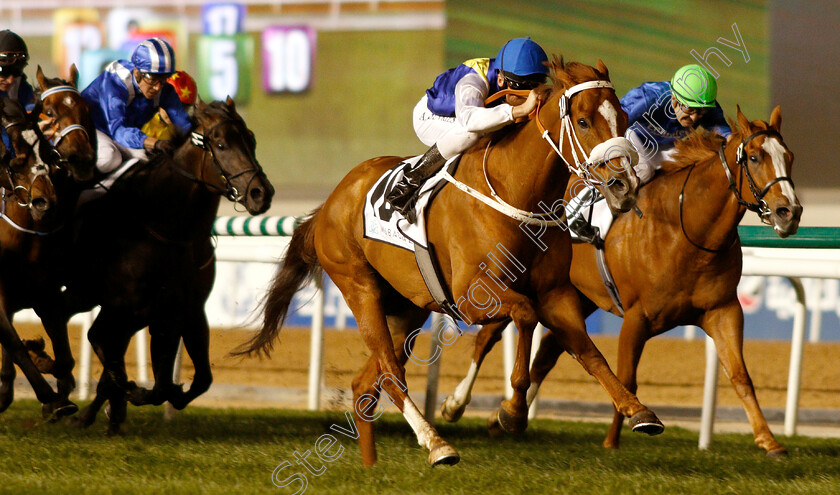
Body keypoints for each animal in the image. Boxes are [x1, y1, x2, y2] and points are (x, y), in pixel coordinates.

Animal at [66, 97, 276, 434]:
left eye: (251, 139)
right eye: (221, 144)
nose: (261, 193)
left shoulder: (185, 310)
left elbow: (197, 380)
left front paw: (127, 403)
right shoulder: (132, 308)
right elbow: (111, 351)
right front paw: (130, 395)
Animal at [238, 58, 664, 468]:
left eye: (623, 119)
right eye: (583, 121)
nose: (624, 186)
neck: (516, 193)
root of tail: (329, 203)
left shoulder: (556, 295)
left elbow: (589, 352)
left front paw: (638, 410)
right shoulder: (471, 298)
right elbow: (525, 315)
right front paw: (510, 411)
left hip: (407, 308)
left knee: (366, 384)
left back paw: (372, 464)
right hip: (359, 288)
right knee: (391, 374)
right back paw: (437, 445)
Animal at [440, 106, 800, 460]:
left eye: (789, 156)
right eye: (754, 157)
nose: (789, 212)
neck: (687, 228)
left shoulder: (723, 310)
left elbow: (741, 376)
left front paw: (770, 441)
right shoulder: (637, 317)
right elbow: (628, 377)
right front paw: (615, 439)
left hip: (575, 295)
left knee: (546, 354)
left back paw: (502, 419)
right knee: (487, 338)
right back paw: (456, 404)